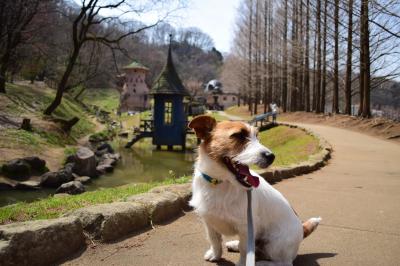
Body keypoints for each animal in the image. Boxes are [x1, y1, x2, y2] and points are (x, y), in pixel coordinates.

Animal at [188, 116, 322, 266]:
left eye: (257, 136)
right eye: (239, 135)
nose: (271, 156)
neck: (220, 183)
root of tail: (302, 229)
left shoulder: (246, 227)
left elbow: (245, 250)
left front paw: (242, 263)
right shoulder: (209, 221)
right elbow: (214, 240)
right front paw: (215, 255)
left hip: (275, 244)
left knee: (283, 262)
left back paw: (262, 263)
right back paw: (234, 244)